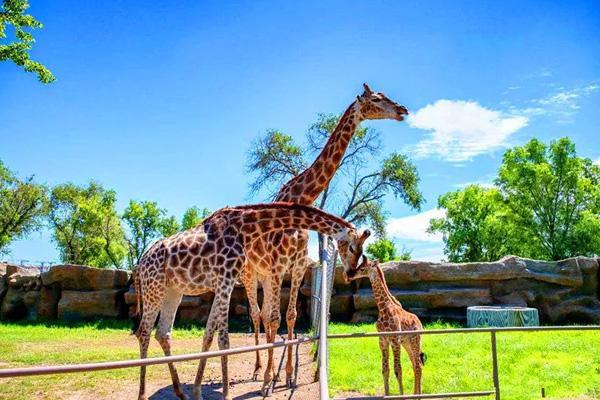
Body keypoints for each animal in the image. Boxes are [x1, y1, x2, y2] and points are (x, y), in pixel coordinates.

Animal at [131, 203, 370, 400]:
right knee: (143, 332)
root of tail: (140, 264)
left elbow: (209, 333)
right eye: (351, 247)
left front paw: (198, 392)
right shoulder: (225, 278)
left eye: (362, 251)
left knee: (163, 333)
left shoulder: (223, 282)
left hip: (173, 291)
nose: (350, 273)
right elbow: (224, 340)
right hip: (154, 288)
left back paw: (181, 392)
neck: (245, 228)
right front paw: (226, 395)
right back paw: (142, 395)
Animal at [241, 82, 410, 394]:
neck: (299, 198)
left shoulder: (295, 268)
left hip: (264, 275)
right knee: (259, 314)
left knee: (266, 314)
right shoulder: (277, 268)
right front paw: (269, 381)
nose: (402, 110)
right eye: (376, 99)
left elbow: (289, 316)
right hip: (251, 272)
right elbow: (274, 318)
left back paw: (269, 372)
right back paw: (259, 372)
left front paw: (288, 376)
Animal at [346, 258, 426, 396]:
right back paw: (415, 394)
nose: (350, 275)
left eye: (362, 268)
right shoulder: (382, 340)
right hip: (407, 343)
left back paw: (418, 395)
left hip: (415, 340)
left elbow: (398, 369)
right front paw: (387, 394)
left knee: (418, 365)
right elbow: (385, 369)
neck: (383, 309)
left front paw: (401, 395)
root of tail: (419, 323)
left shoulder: (394, 340)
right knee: (415, 364)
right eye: (359, 265)